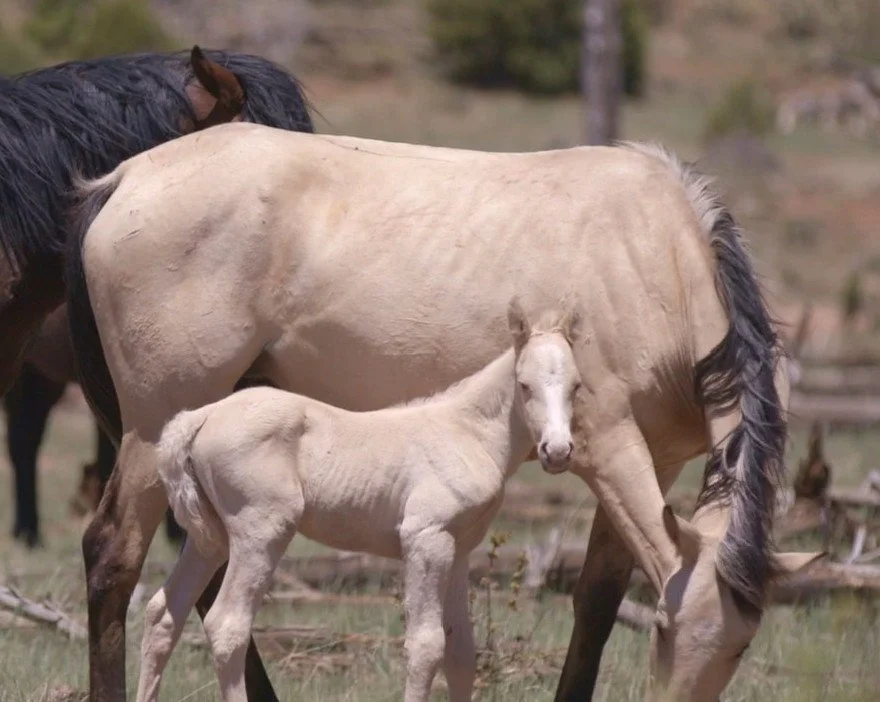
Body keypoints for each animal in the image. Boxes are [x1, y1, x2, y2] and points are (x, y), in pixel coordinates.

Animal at [137, 300, 581, 702]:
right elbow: (425, 646)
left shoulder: (458, 549)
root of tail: (201, 417)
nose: (557, 451)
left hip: (210, 539)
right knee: (227, 625)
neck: (468, 433)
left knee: (163, 613)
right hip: (261, 531)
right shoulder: (425, 538)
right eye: (524, 385)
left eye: (576, 386)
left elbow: (461, 654)